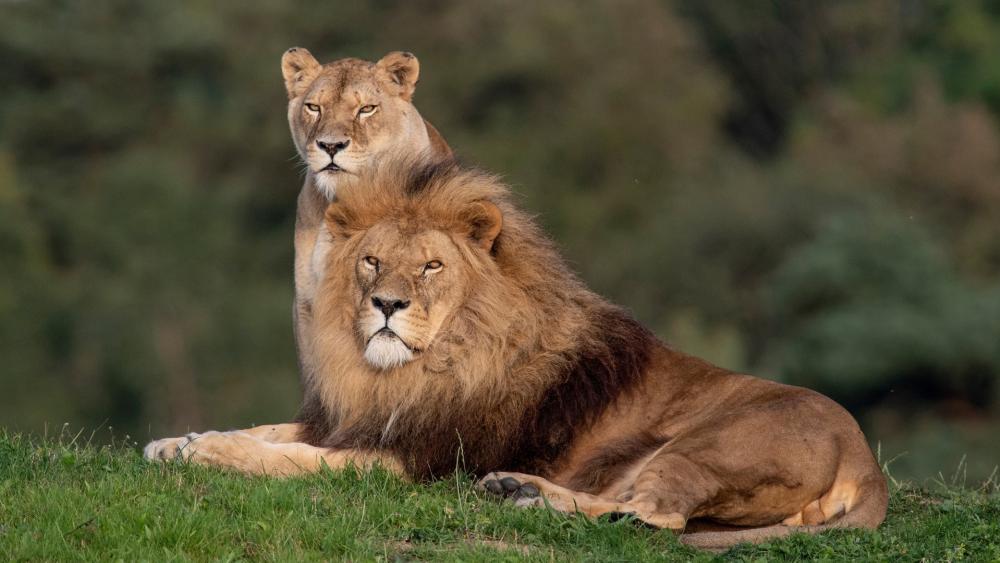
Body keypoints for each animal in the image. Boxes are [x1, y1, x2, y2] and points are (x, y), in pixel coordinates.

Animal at [144, 159, 888, 550]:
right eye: (372, 261)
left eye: (433, 266)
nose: (386, 304)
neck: (412, 371)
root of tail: (866, 459)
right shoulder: (356, 419)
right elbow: (272, 430)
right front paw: (173, 441)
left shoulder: (410, 461)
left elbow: (291, 458)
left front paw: (208, 450)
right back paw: (518, 490)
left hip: (705, 445)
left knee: (656, 518)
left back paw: (527, 500)